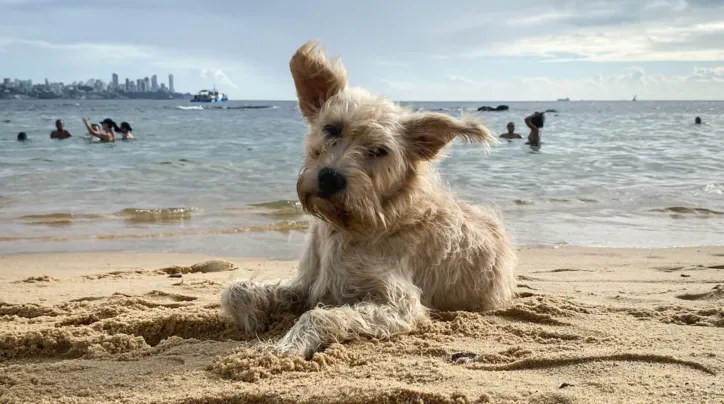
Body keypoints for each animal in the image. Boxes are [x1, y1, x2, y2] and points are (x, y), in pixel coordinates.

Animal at [221, 39, 516, 358]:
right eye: (332, 128)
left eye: (379, 151)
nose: (330, 178)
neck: (350, 225)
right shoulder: (307, 284)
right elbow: (235, 289)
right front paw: (255, 319)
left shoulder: (399, 303)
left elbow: (319, 314)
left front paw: (287, 346)